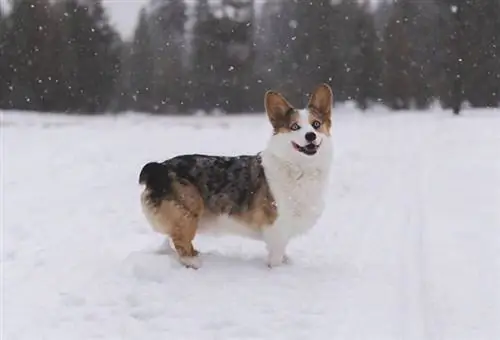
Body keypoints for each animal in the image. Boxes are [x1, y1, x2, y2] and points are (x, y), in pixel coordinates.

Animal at [138, 84, 332, 268]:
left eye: (316, 124)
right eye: (294, 127)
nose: (310, 135)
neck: (300, 167)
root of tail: (158, 167)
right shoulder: (276, 228)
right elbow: (276, 256)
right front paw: (277, 270)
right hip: (189, 210)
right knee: (181, 243)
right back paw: (194, 262)